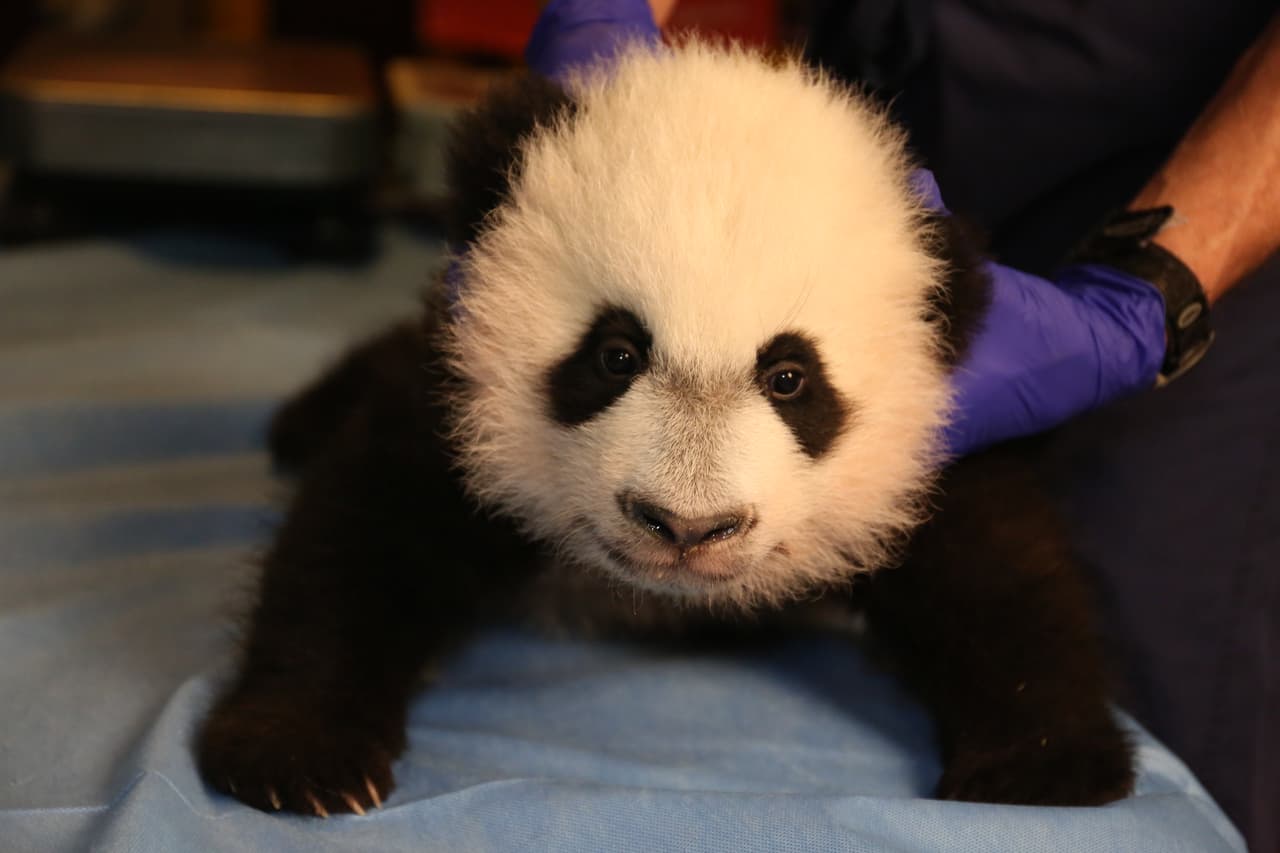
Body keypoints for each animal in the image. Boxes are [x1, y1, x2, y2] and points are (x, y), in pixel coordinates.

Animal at [196, 40, 1134, 818]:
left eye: (790, 379)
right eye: (615, 354)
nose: (685, 526)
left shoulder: (933, 435)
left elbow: (998, 568)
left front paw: (1044, 762)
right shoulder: (459, 397)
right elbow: (364, 531)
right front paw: (298, 752)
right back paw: (299, 422)